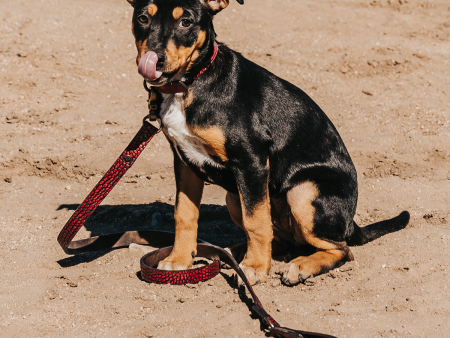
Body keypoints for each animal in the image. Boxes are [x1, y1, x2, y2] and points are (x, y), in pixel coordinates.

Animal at [125, 0, 410, 286]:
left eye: (185, 22)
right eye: (142, 18)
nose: (155, 58)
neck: (189, 84)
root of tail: (350, 223)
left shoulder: (252, 160)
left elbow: (256, 222)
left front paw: (255, 268)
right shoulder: (185, 162)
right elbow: (184, 214)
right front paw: (179, 260)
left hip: (303, 192)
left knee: (341, 249)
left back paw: (298, 266)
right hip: (235, 197)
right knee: (283, 240)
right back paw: (233, 253)